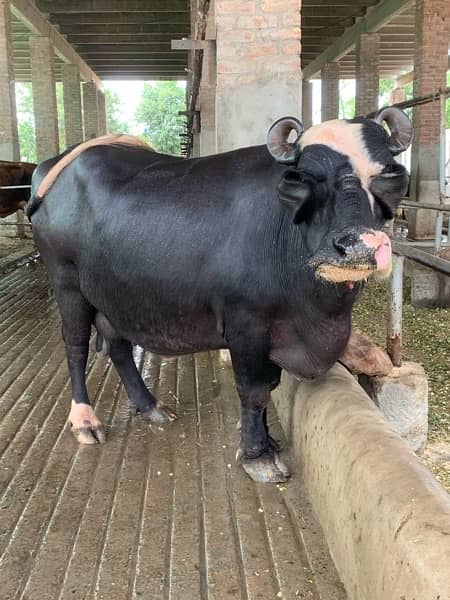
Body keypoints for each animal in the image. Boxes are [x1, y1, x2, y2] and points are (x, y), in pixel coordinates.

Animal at [27, 109, 412, 482]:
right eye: (306, 178)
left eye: (390, 176)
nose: (359, 247)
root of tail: (59, 163)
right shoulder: (246, 324)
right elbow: (255, 391)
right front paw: (258, 455)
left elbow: (269, 385)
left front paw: (266, 441)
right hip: (67, 283)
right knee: (75, 346)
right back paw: (85, 421)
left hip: (114, 295)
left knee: (119, 348)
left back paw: (150, 405)